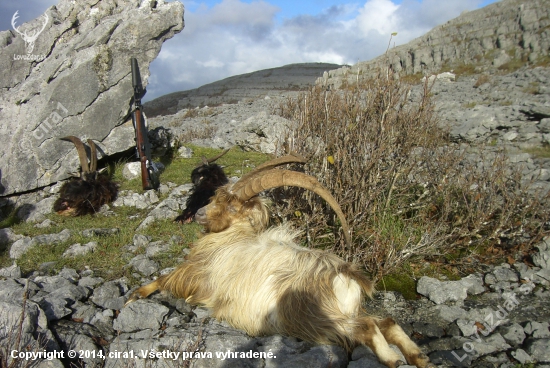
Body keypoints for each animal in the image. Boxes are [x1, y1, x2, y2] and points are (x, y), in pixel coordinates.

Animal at [127, 155, 434, 368]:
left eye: (232, 207)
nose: (199, 214)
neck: (231, 237)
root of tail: (347, 274)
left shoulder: (195, 274)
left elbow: (163, 278)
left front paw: (134, 296)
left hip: (309, 315)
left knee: (367, 327)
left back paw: (393, 359)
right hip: (339, 313)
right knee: (387, 322)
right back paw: (419, 358)